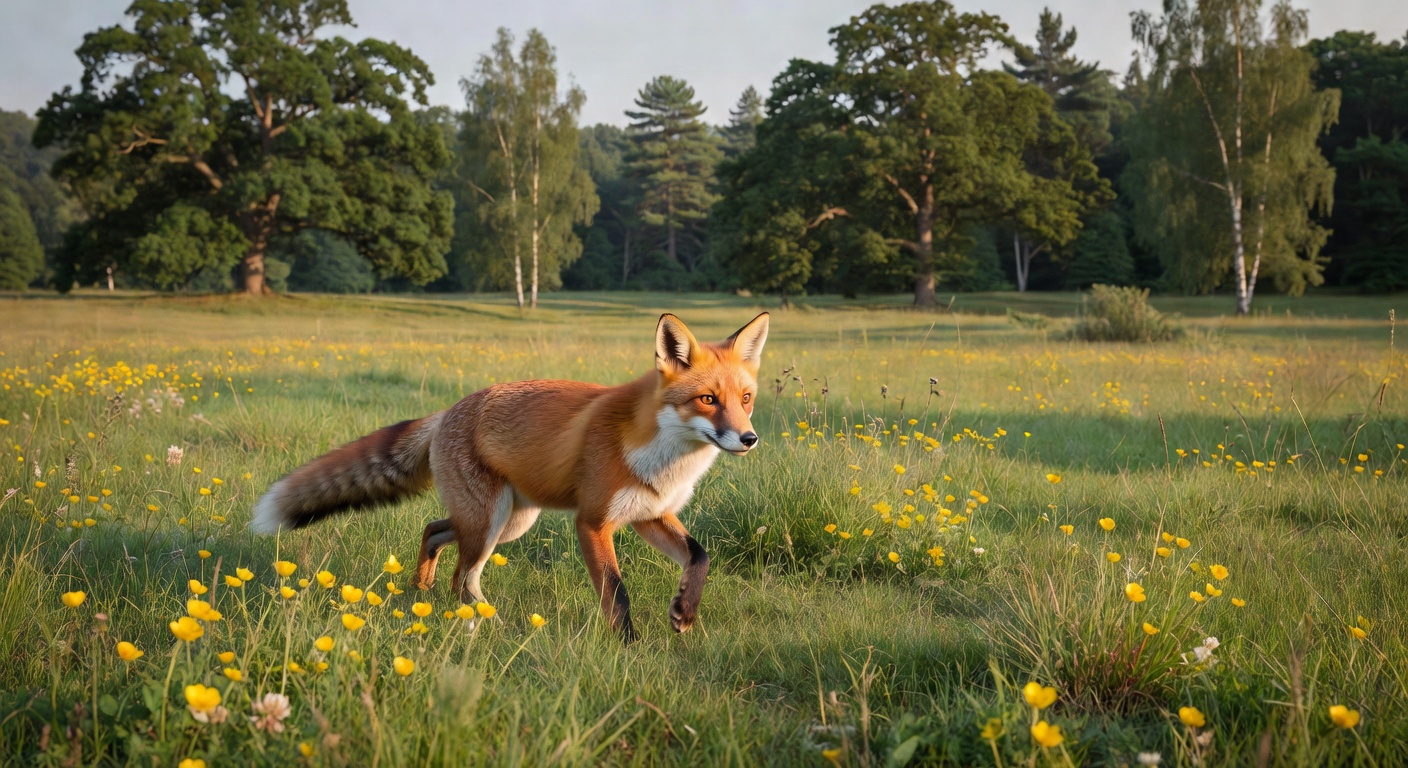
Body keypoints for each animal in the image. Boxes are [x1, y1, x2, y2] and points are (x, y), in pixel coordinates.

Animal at [251, 312, 769, 642]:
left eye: (745, 398)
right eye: (707, 400)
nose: (749, 439)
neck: (663, 455)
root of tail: (447, 411)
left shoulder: (649, 515)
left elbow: (700, 557)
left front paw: (684, 611)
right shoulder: (593, 521)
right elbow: (617, 595)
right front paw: (629, 650)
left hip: (508, 522)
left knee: (435, 533)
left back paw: (423, 592)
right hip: (491, 523)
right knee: (463, 574)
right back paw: (482, 623)